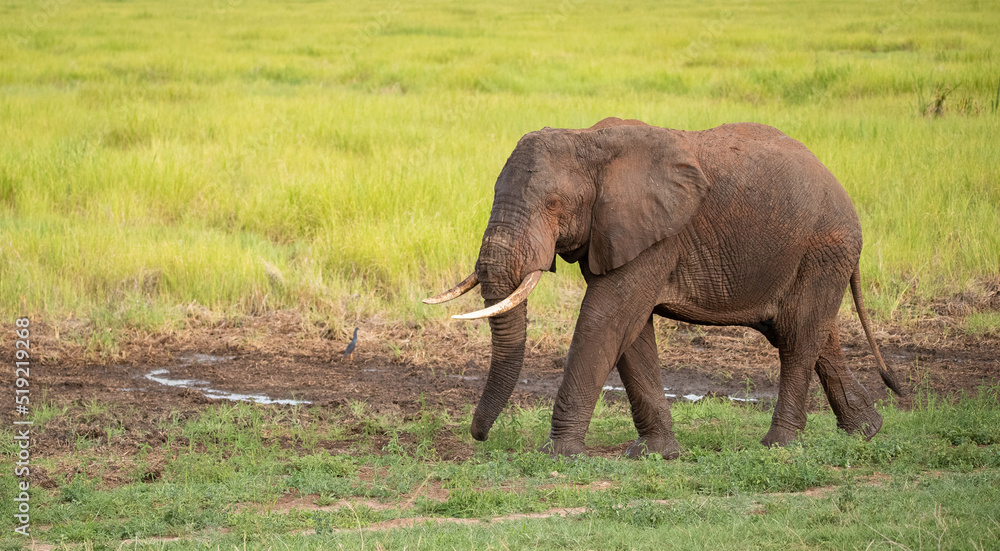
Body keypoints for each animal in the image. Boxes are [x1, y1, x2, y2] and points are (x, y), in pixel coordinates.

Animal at [425, 117, 905, 458]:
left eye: (553, 204)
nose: (479, 436)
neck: (588, 141)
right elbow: (631, 332)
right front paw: (656, 454)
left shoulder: (656, 236)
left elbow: (606, 318)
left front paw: (557, 454)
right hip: (814, 256)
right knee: (815, 333)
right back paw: (867, 432)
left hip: (823, 245)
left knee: (797, 337)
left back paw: (779, 445)